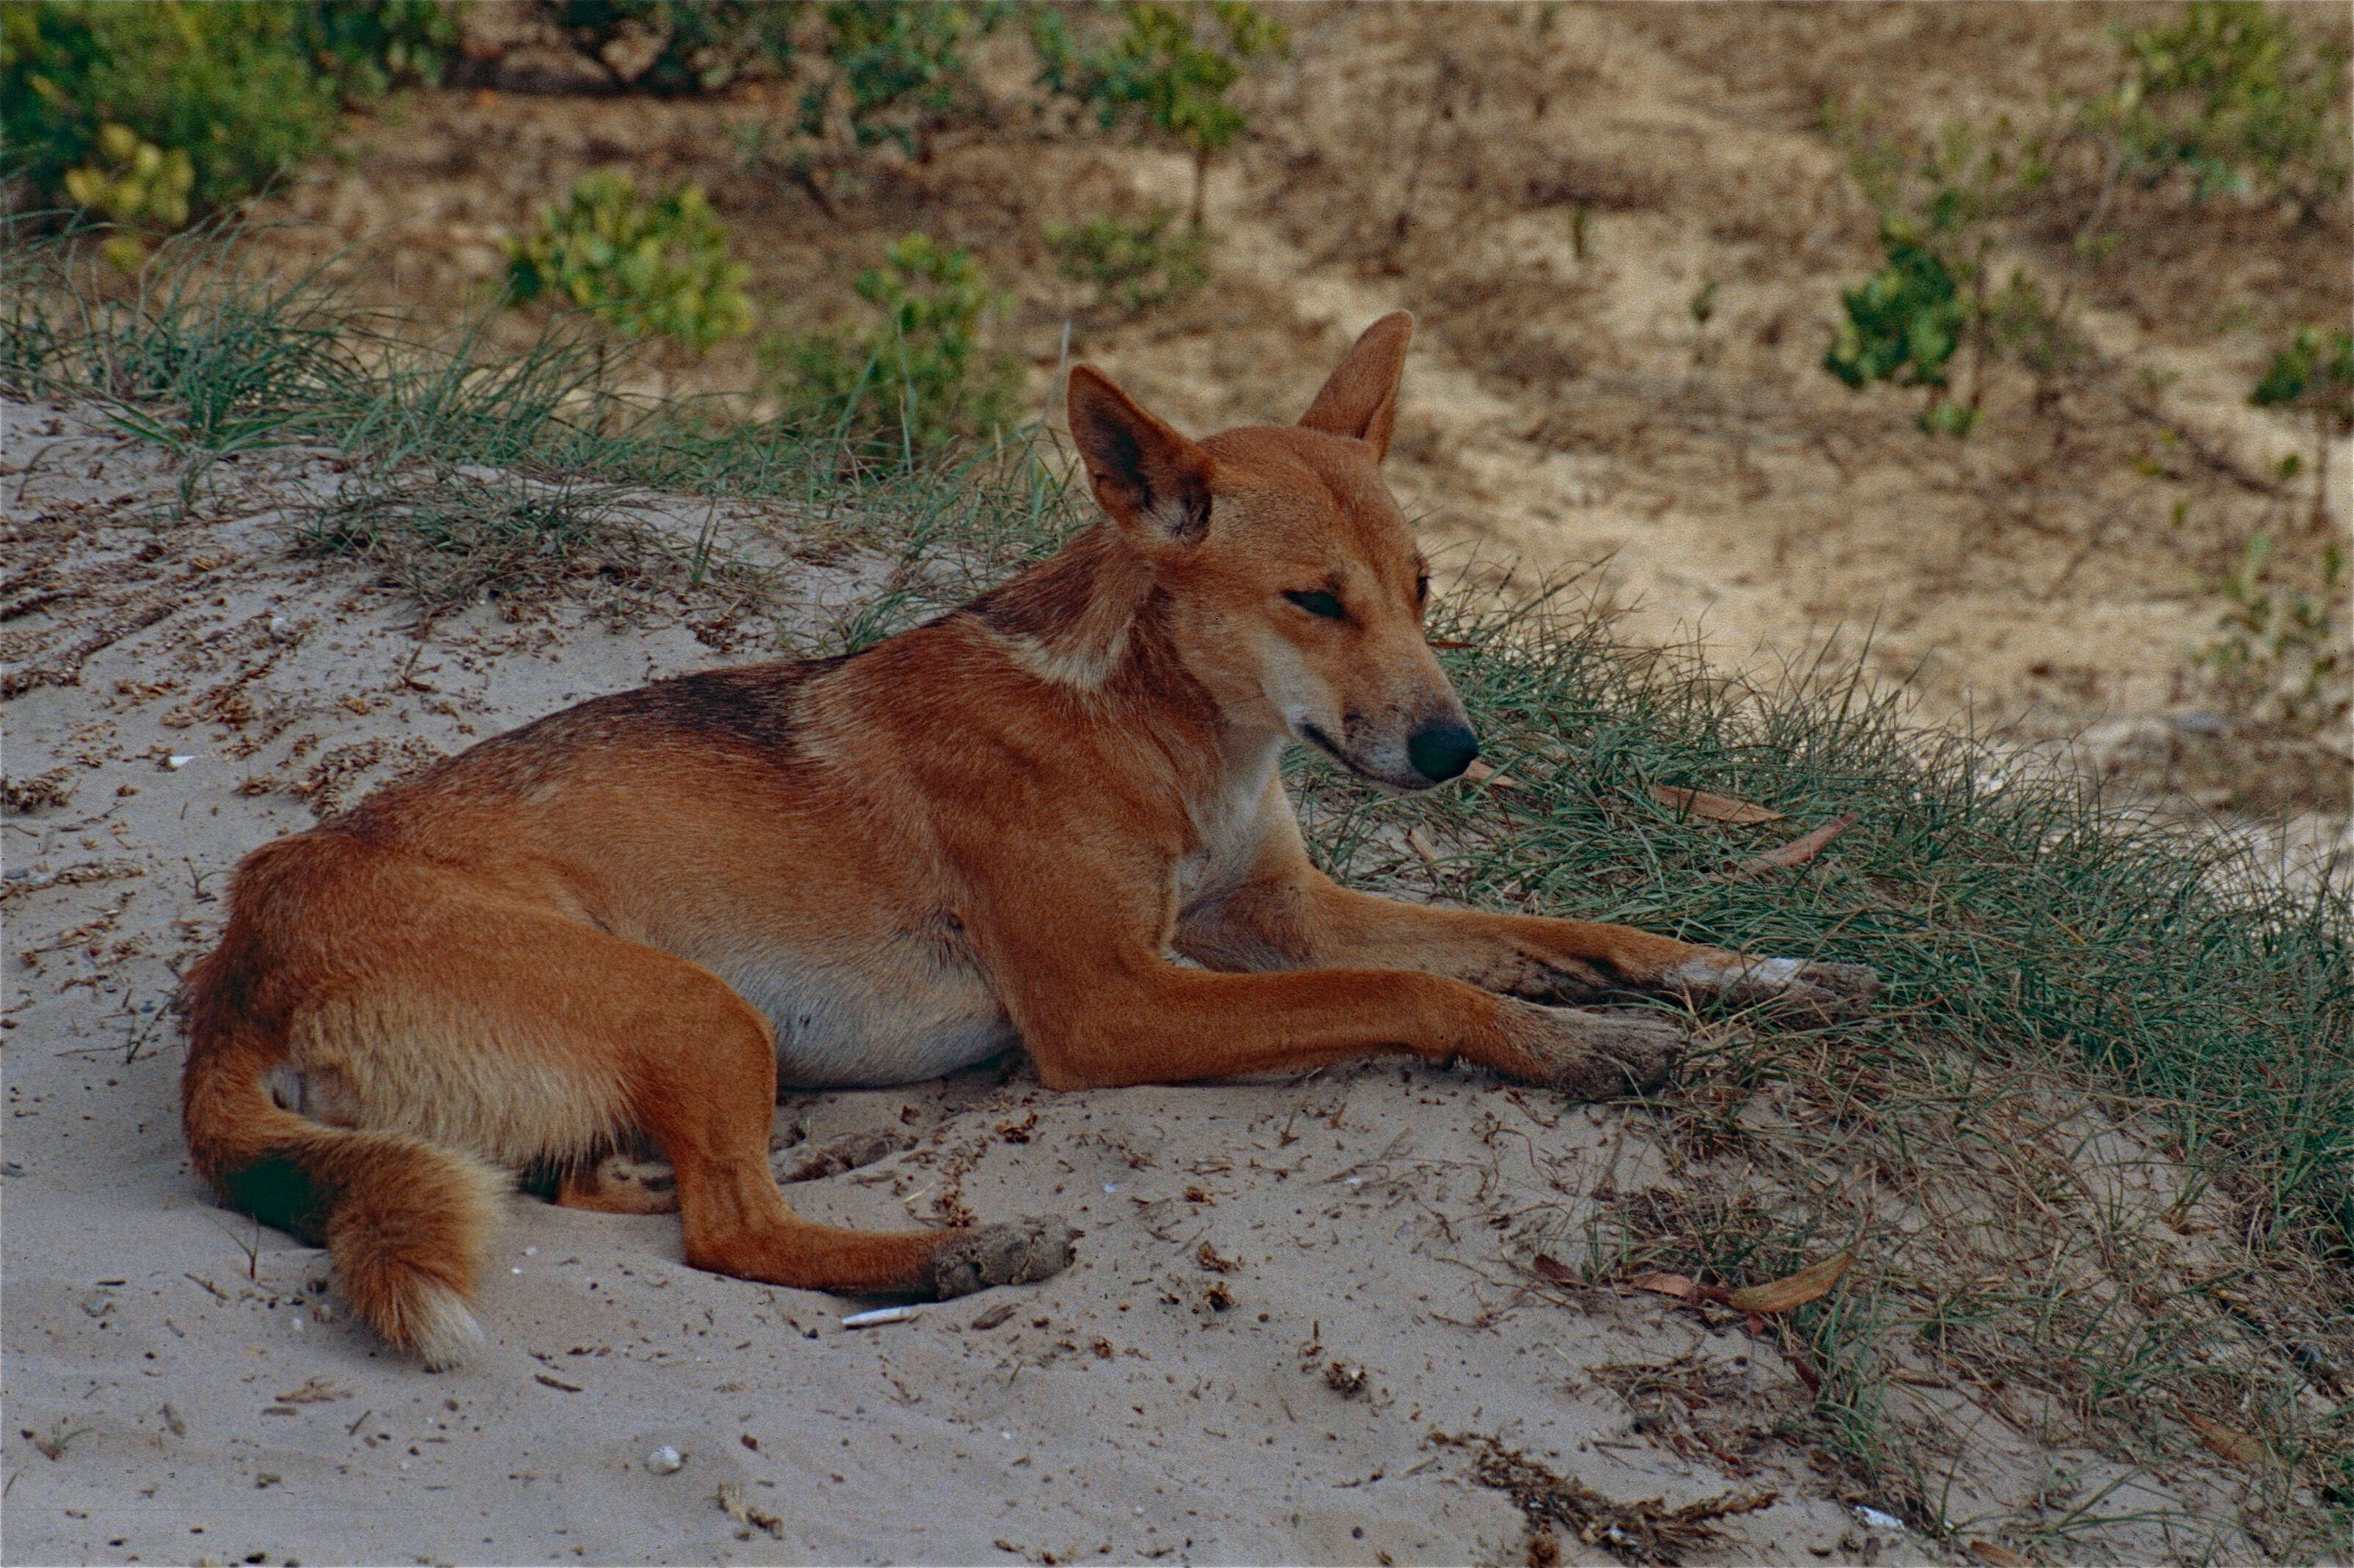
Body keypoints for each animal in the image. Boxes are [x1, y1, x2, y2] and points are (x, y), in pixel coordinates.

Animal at [178, 315, 1873, 1356]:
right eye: (1312, 602)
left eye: (1420, 587)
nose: (1456, 750)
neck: (1156, 731)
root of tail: (242, 956)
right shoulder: (1114, 1006)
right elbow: (1426, 989)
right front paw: (1583, 1050)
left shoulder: (1281, 914)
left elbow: (1563, 930)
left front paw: (1755, 974)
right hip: (695, 1000)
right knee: (728, 1233)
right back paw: (945, 1255)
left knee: (608, 1185)